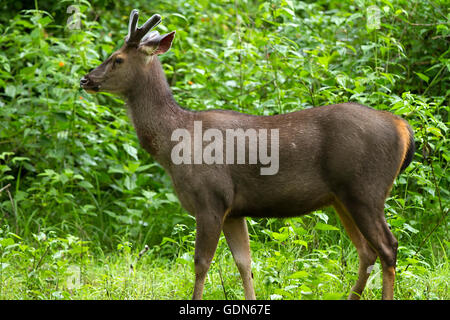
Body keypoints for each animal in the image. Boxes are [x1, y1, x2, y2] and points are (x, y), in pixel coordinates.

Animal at [81, 10, 414, 300]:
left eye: (117, 59)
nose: (86, 79)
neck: (174, 143)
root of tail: (402, 128)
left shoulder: (211, 198)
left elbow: (201, 264)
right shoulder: (234, 210)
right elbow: (245, 264)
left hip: (366, 189)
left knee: (388, 247)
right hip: (342, 198)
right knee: (367, 252)